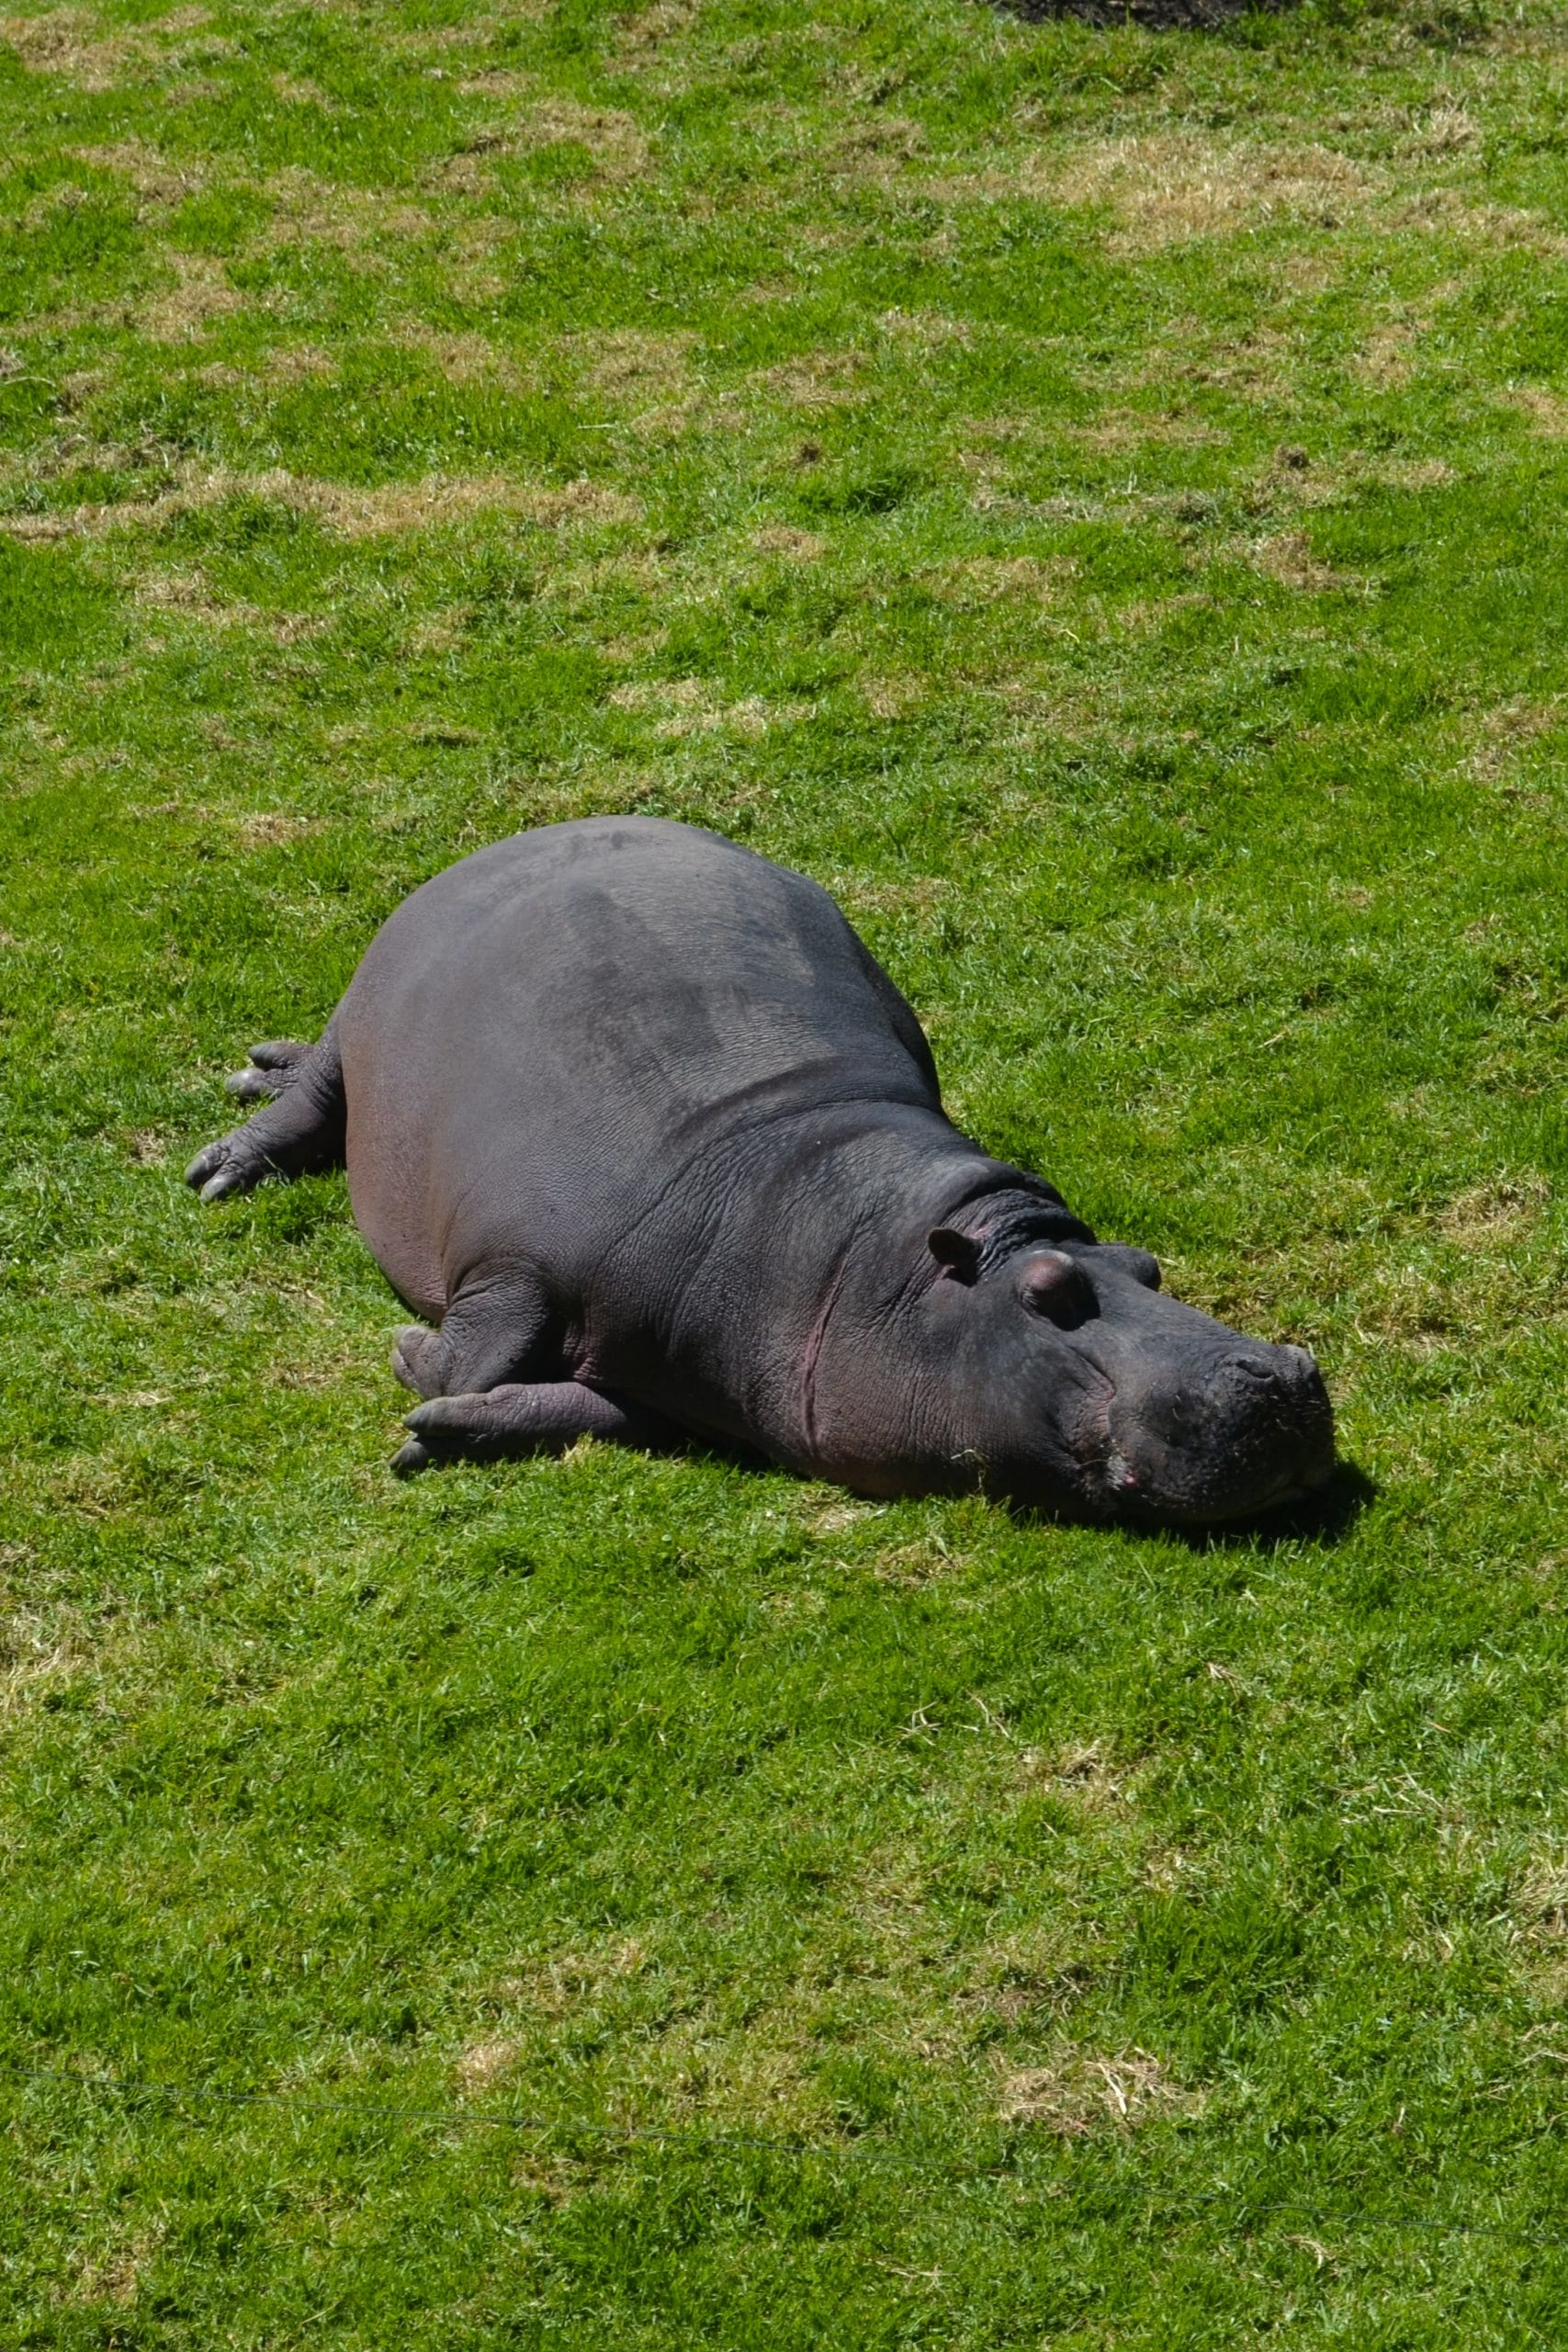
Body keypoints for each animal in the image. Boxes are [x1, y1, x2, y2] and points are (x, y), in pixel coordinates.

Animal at [186, 815, 1333, 1523]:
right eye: (1049, 1291)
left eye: (1147, 1265)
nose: (1281, 1372)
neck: (850, 1250)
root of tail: (531, 832)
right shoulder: (517, 1263)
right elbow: (478, 1348)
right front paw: (412, 1368)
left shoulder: (685, 1381)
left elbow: (592, 1412)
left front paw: (438, 1434)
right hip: (366, 1019)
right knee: (317, 1092)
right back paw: (225, 1163)